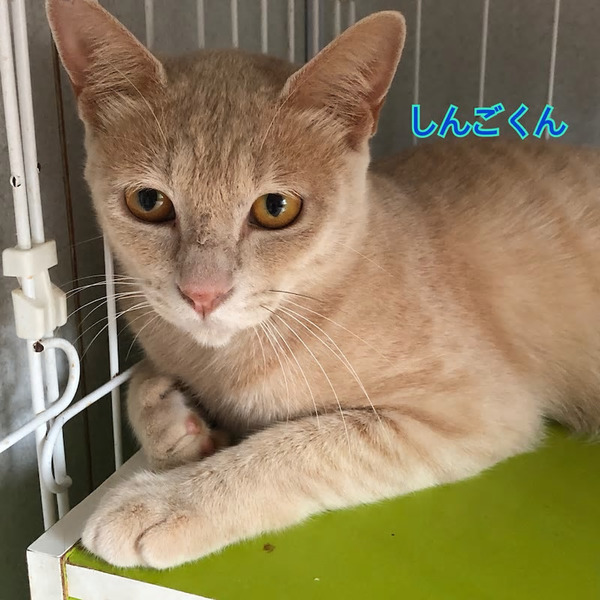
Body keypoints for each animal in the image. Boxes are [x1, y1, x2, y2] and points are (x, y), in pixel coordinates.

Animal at [47, 0, 600, 569]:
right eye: (148, 202)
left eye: (276, 208)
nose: (203, 294)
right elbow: (137, 384)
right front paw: (172, 418)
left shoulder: (475, 406)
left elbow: (297, 447)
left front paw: (167, 501)